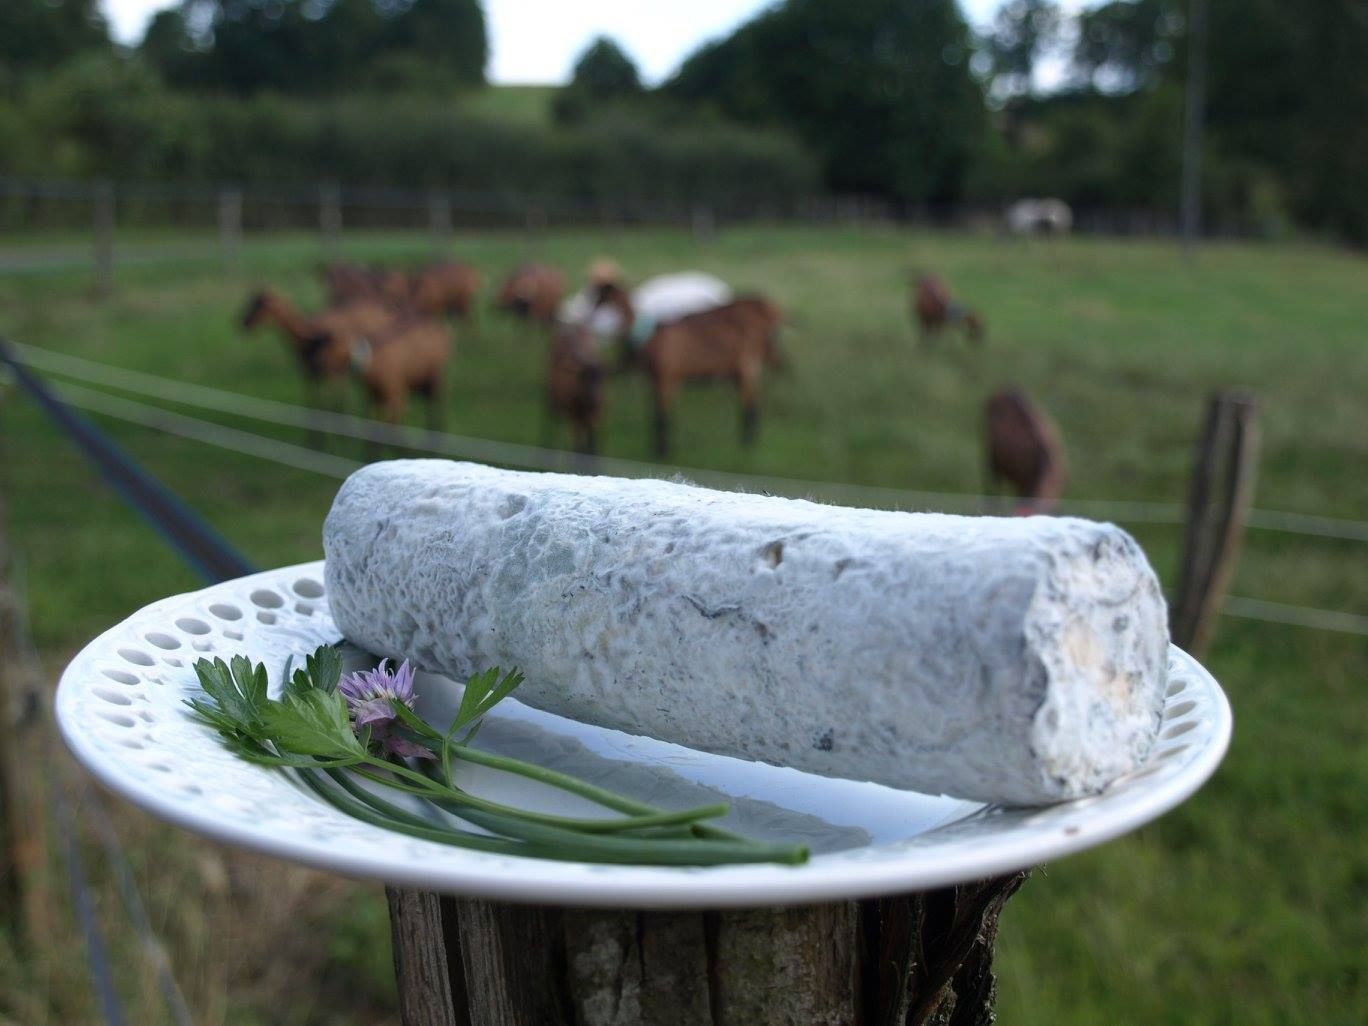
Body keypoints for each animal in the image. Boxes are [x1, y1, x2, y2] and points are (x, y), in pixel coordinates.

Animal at [541, 322, 607, 456]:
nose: (592, 397)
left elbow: (592, 446)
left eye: (601, 378)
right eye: (582, 376)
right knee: (550, 419)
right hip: (551, 393)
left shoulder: (595, 417)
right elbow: (577, 446)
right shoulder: (573, 417)